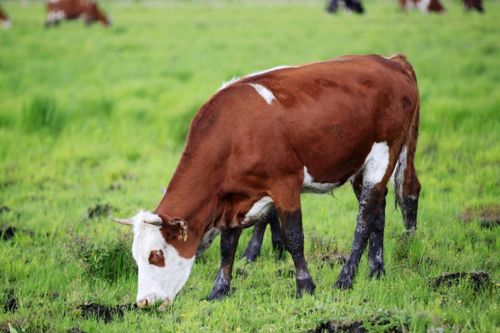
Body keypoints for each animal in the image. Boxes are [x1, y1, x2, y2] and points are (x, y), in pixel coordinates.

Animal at [111, 53, 420, 306]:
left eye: (156, 255)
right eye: (135, 257)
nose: (144, 302)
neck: (235, 132)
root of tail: (391, 61)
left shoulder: (285, 184)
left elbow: (294, 237)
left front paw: (305, 286)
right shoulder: (234, 198)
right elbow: (228, 245)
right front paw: (219, 290)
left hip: (384, 153)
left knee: (366, 216)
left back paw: (346, 278)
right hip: (361, 163)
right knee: (378, 210)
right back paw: (376, 270)